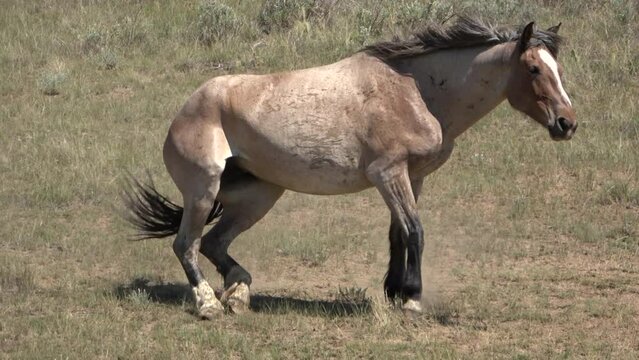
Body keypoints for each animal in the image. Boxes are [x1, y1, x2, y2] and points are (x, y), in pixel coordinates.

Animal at [124, 18, 576, 320]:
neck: (416, 92)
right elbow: (415, 230)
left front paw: (394, 291)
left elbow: (398, 234)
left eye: (558, 69)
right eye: (534, 69)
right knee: (187, 245)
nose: (567, 124)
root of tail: (186, 108)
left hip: (259, 195)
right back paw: (208, 305)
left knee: (215, 243)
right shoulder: (388, 173)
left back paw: (238, 295)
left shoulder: (413, 177)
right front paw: (412, 298)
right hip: (203, 191)